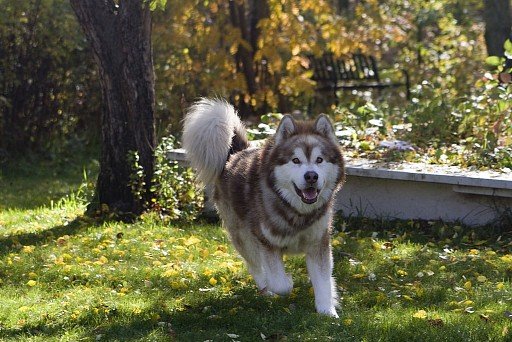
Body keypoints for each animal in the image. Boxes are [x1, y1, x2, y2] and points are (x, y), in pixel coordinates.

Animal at [182, 97, 346, 316]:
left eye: (319, 160)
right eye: (296, 160)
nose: (311, 176)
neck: (295, 212)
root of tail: (236, 153)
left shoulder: (318, 243)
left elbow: (323, 282)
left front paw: (327, 311)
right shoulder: (267, 244)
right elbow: (280, 284)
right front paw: (286, 282)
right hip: (243, 237)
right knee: (255, 266)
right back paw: (265, 289)